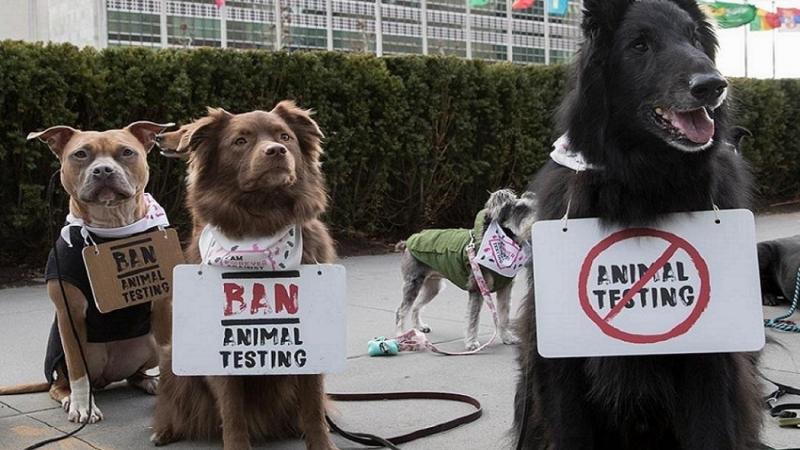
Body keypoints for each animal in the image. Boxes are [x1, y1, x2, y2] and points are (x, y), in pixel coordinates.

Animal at [0, 120, 173, 422]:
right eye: (80, 154)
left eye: (127, 152)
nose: (103, 170)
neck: (111, 228)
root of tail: (107, 378)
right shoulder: (69, 315)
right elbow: (78, 370)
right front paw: (82, 406)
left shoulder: (162, 306)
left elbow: (168, 357)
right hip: (67, 356)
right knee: (61, 382)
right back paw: (69, 396)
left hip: (148, 340)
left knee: (134, 375)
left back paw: (148, 381)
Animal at [152, 103, 338, 450]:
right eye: (240, 141)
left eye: (285, 137)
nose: (276, 150)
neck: (262, 219)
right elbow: (232, 409)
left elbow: (313, 405)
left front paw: (321, 443)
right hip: (171, 358)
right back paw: (166, 430)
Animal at [396, 188, 536, 350]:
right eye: (520, 209)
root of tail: (407, 242)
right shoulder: (477, 288)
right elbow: (473, 318)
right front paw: (471, 343)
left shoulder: (505, 289)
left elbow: (504, 315)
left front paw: (507, 337)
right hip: (413, 284)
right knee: (401, 311)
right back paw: (400, 335)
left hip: (433, 287)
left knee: (416, 306)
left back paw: (419, 327)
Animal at [512, 0, 764, 450]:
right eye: (640, 45)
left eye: (694, 38)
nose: (713, 86)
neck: (640, 181)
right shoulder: (557, 362)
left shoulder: (710, 360)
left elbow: (711, 429)